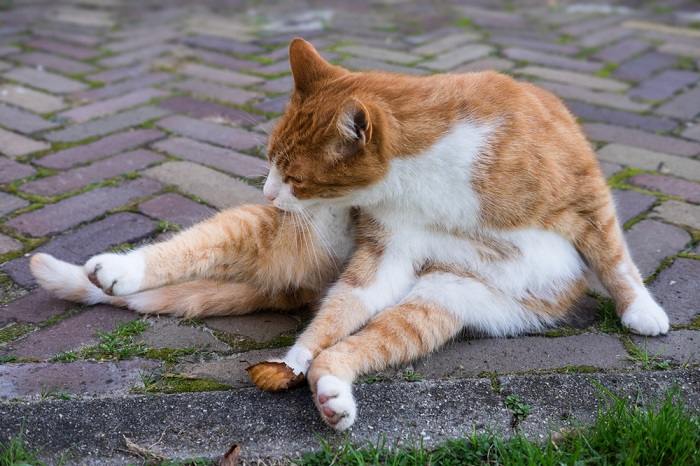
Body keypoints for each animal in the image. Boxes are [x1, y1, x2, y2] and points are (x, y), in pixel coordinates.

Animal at [30, 37, 668, 434]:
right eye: (269, 160)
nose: (269, 191)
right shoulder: (386, 254)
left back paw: (331, 393)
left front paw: (641, 312)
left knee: (352, 348)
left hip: (443, 298)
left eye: (293, 173)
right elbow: (338, 311)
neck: (429, 177)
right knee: (211, 259)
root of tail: (297, 285)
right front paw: (291, 354)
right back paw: (116, 270)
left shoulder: (585, 195)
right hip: (284, 236)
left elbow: (615, 258)